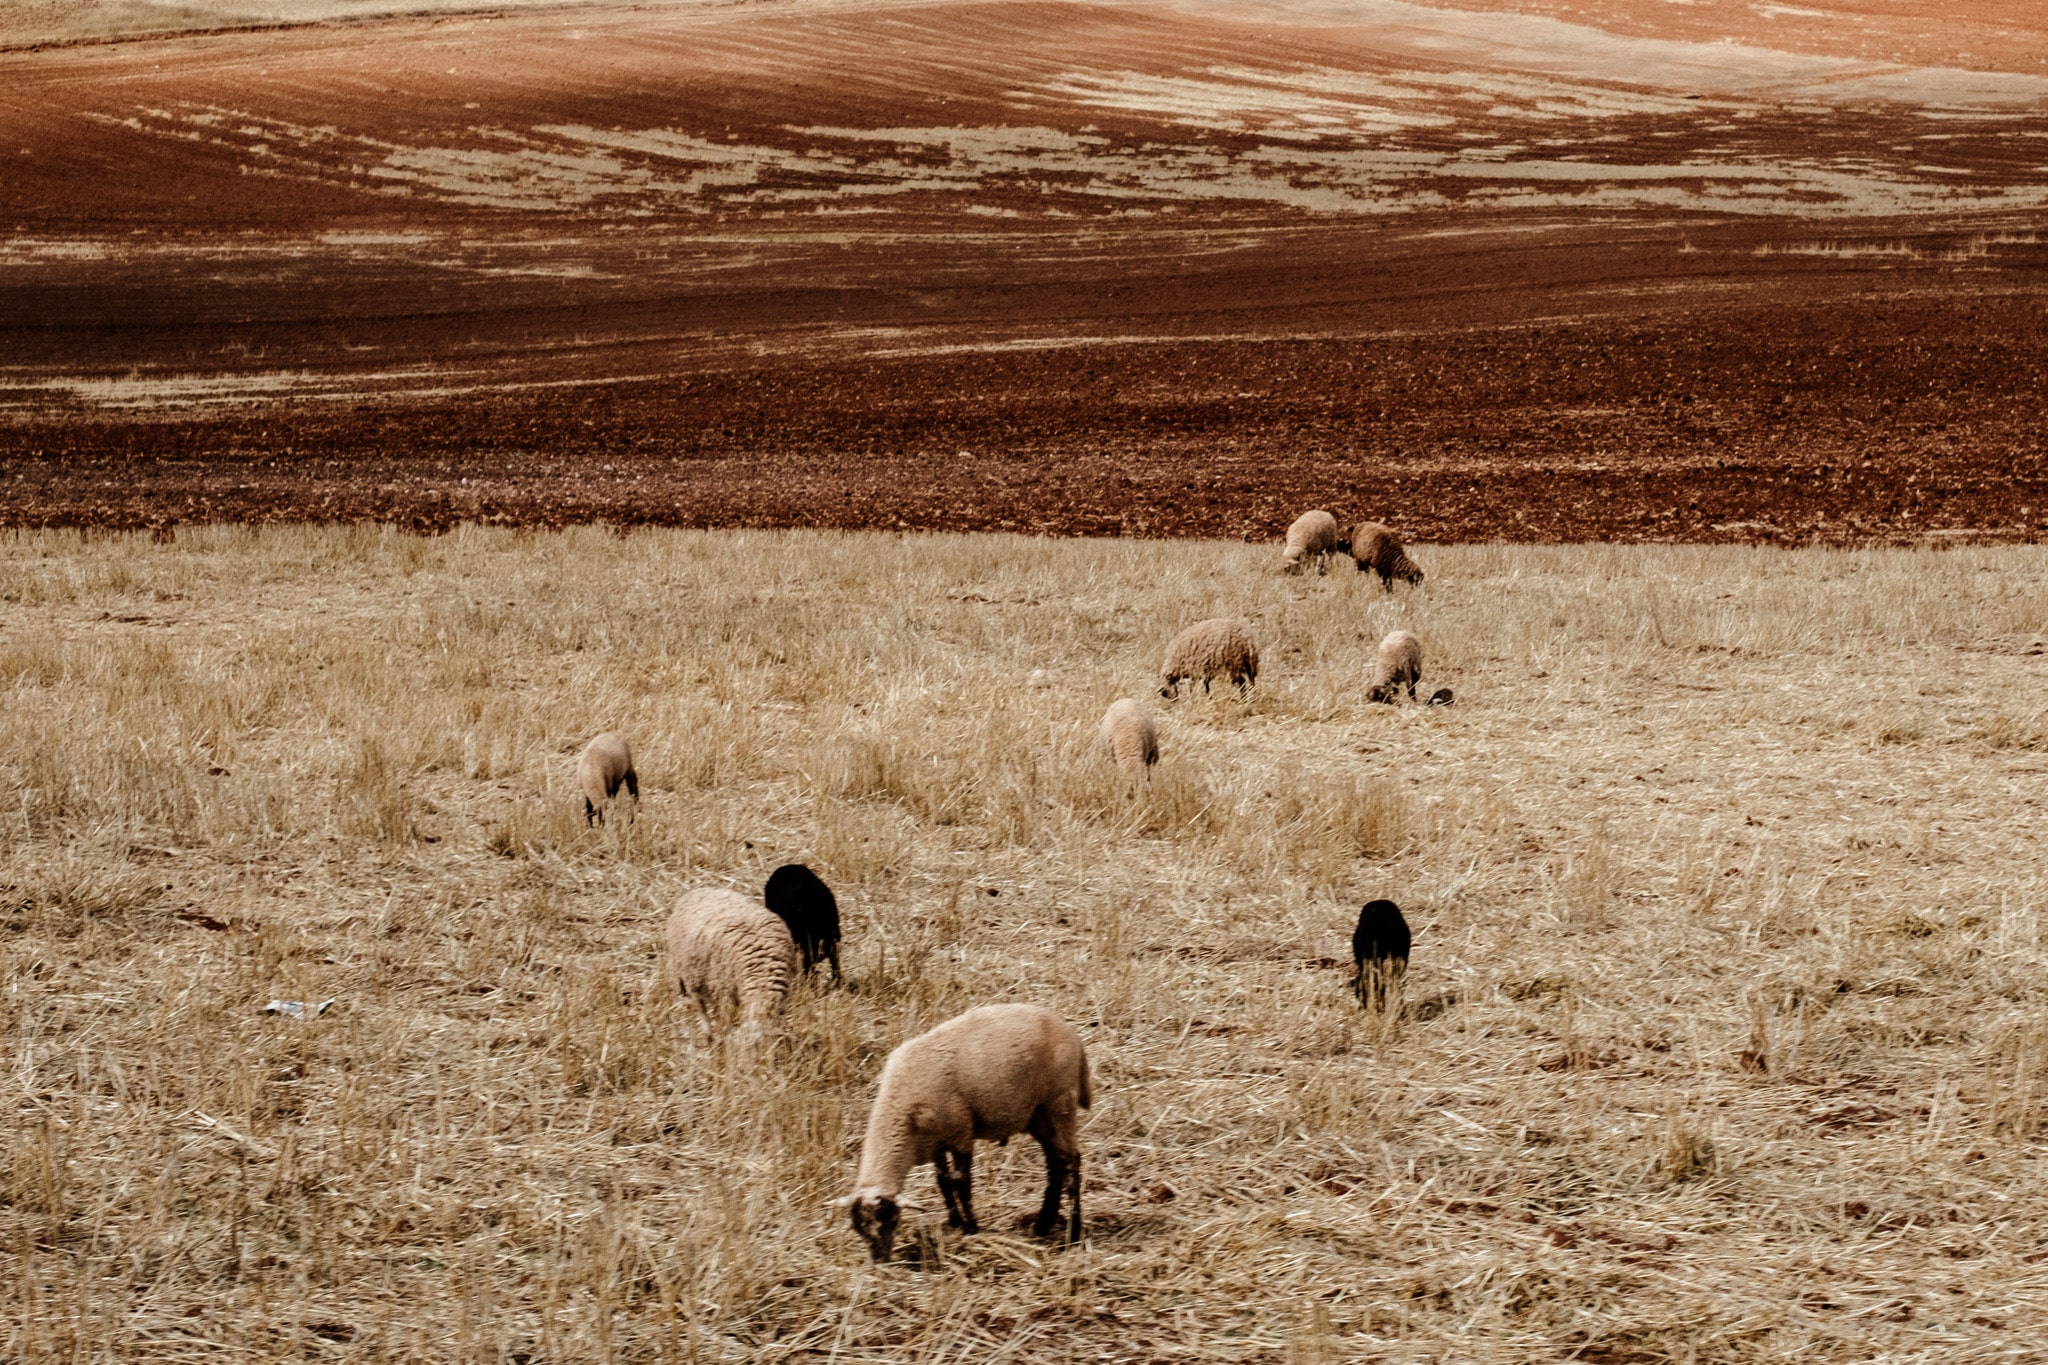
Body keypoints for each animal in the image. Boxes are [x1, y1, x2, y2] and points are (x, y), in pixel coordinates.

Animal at [665, 887, 799, 1041]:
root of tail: (695, 891)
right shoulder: (723, 995)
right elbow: (724, 1022)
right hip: (691, 977)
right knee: (702, 1010)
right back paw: (708, 1036)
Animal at [839, 1003, 1091, 1261]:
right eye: (857, 1227)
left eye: (891, 1220)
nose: (879, 1261)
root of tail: (1071, 1034)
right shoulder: (935, 1143)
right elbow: (943, 1181)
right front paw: (955, 1221)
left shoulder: (961, 1135)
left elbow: (961, 1183)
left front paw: (971, 1227)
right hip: (1038, 1115)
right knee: (1055, 1164)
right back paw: (1043, 1224)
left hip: (1059, 1103)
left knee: (1071, 1162)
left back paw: (1073, 1233)